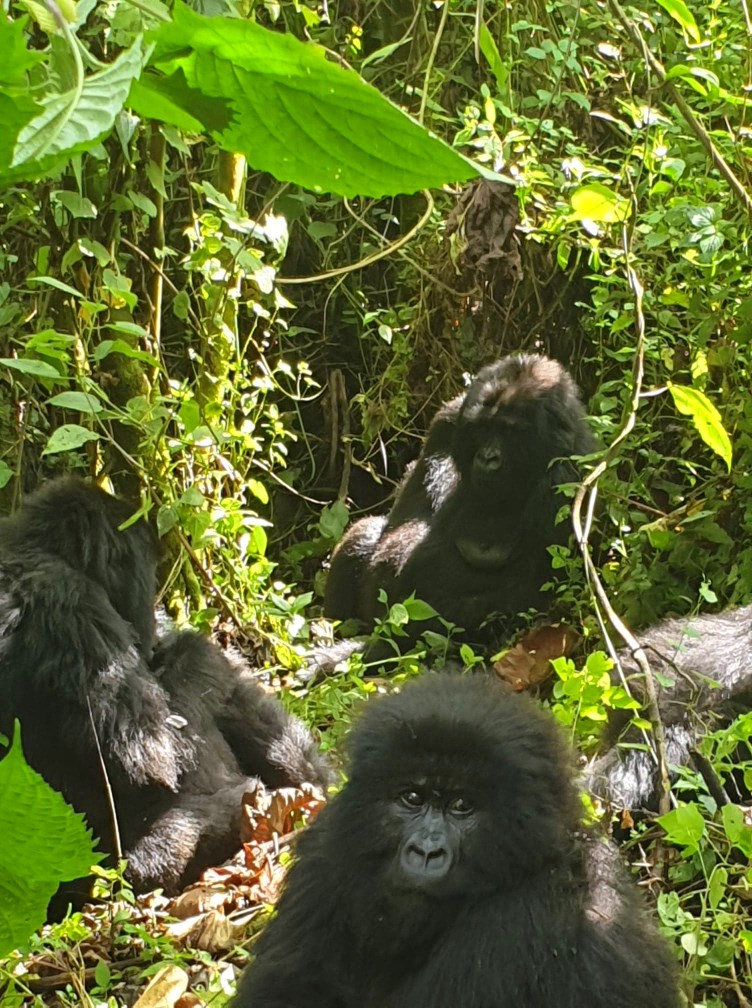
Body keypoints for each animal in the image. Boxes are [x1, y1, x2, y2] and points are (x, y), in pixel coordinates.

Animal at [231, 669, 677, 1008]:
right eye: (412, 798)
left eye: (462, 806)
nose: (425, 852)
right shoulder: (329, 845)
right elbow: (285, 986)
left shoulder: (533, 906)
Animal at [322, 350, 592, 641]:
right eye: (483, 428)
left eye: (509, 432)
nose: (488, 458)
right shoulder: (447, 421)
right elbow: (400, 521)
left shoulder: (566, 476)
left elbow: (531, 589)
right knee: (364, 533)